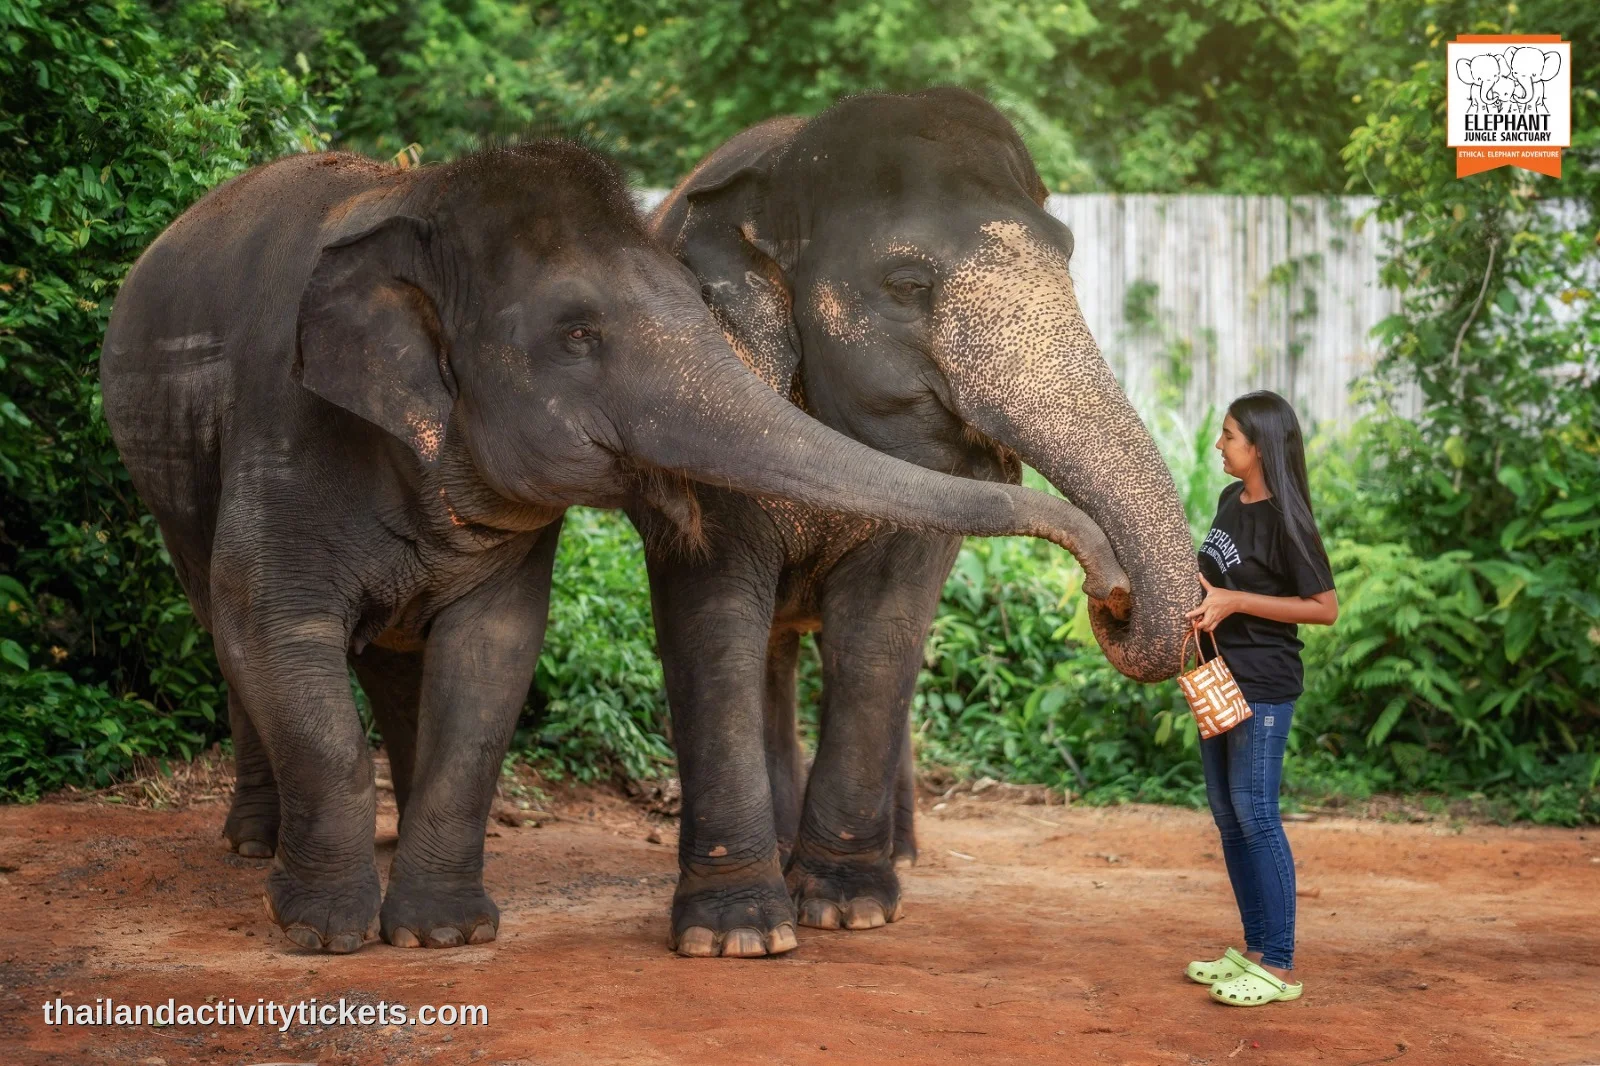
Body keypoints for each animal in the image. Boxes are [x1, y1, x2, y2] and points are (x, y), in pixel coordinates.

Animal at [99, 139, 1126, 954]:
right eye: (579, 334)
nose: (1111, 591)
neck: (424, 203)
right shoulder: (284, 430)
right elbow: (277, 637)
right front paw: (326, 935)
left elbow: (494, 655)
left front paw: (441, 935)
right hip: (164, 469)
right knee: (223, 625)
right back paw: (251, 846)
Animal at [632, 87, 1199, 958]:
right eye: (906, 282)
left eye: (1068, 257)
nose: (1112, 593)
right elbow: (713, 622)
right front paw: (736, 936)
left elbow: (882, 630)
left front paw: (848, 908)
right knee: (769, 651)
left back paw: (893, 854)